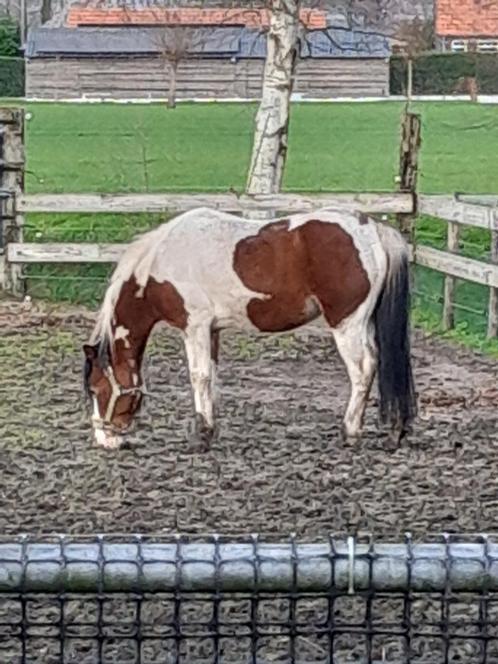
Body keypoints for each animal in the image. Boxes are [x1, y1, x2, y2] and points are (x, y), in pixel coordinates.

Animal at [84, 205, 416, 448]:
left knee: (363, 370)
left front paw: (201, 434)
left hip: (347, 324)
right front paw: (210, 427)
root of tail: (371, 229)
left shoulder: (195, 327)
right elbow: (212, 375)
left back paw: (350, 431)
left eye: (96, 388)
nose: (104, 438)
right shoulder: (212, 331)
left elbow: (198, 376)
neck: (160, 261)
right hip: (364, 323)